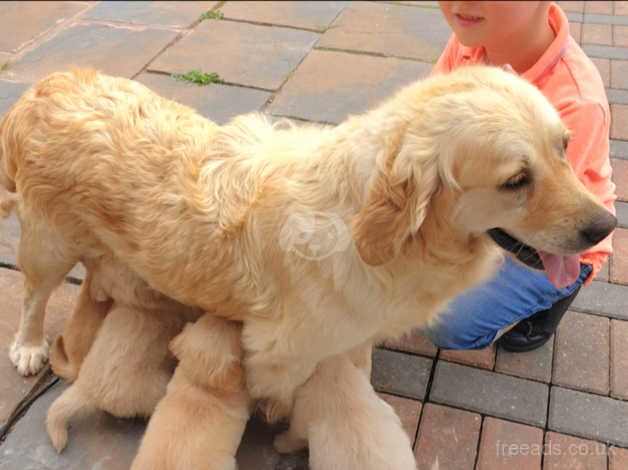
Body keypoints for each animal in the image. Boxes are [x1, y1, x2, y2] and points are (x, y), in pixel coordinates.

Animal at [0, 66, 612, 426]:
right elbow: (283, 401)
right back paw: (29, 347)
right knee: (32, 296)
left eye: (565, 147)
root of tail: (48, 82)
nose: (605, 227)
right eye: (516, 180)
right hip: (47, 245)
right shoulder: (279, 351)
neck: (369, 227)